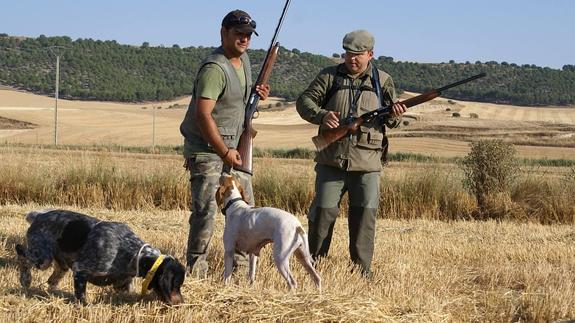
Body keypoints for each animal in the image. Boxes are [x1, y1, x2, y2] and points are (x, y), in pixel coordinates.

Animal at [14, 210, 184, 306]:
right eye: (176, 285)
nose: (181, 303)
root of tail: (39, 215)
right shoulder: (80, 269)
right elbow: (81, 296)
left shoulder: (121, 282)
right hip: (43, 258)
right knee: (22, 254)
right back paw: (25, 279)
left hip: (60, 264)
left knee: (52, 280)